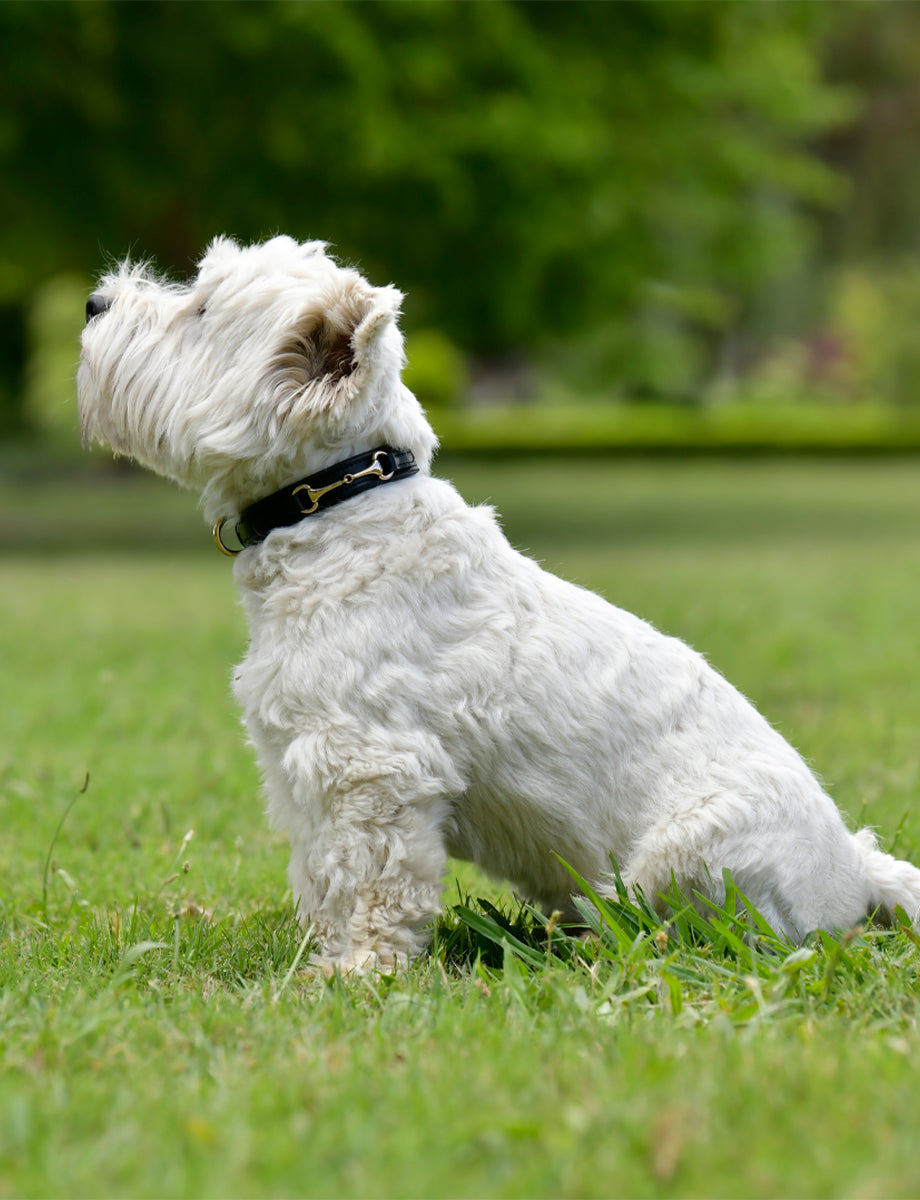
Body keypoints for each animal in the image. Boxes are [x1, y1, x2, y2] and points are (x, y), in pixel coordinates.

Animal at [77, 236, 920, 974]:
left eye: (201, 310)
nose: (92, 301)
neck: (337, 506)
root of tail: (856, 874)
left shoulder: (378, 771)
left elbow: (375, 887)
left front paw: (362, 973)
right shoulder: (303, 770)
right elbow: (321, 879)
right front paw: (316, 960)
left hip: (687, 854)